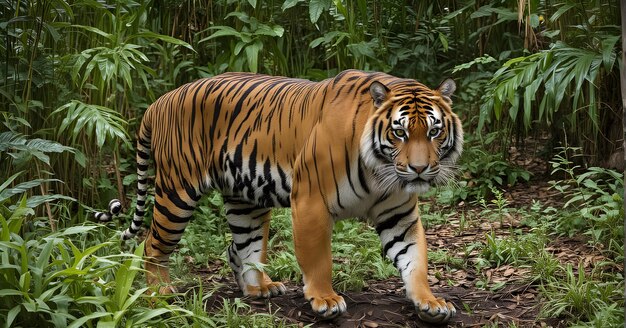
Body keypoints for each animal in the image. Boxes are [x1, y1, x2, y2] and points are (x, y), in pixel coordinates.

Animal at [95, 69, 460, 322]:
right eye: (399, 132)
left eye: (434, 131)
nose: (418, 169)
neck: (380, 172)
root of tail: (160, 100)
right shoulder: (310, 201)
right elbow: (318, 259)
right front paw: (325, 300)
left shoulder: (398, 214)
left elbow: (415, 258)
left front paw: (430, 302)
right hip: (177, 192)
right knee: (151, 245)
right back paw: (159, 293)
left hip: (246, 198)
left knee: (241, 246)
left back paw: (258, 287)